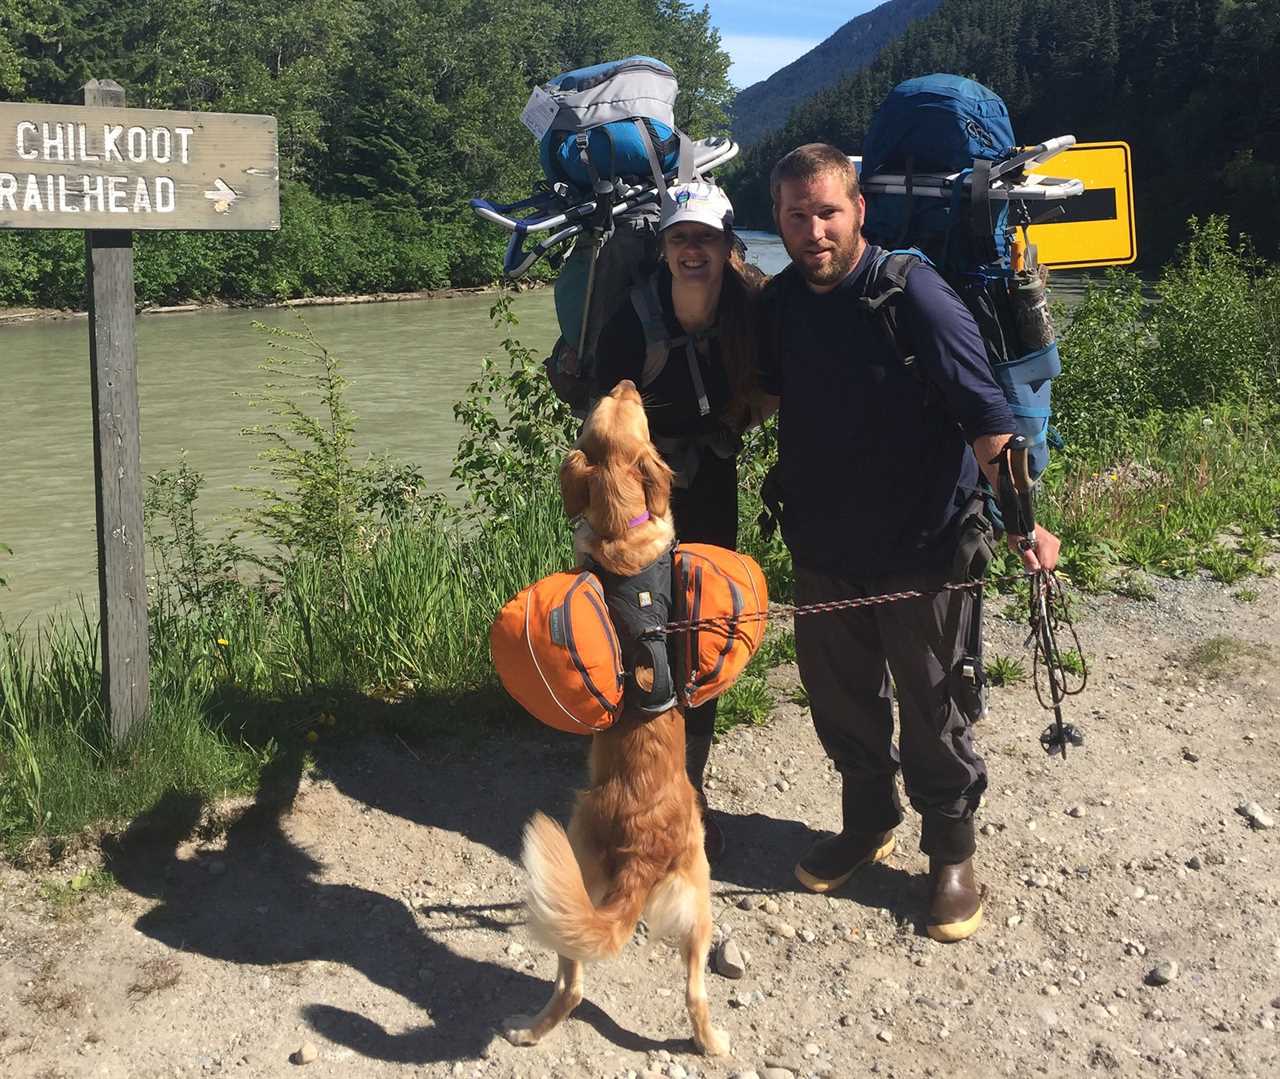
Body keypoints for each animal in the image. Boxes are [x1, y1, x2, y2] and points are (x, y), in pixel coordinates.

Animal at [499, 378, 732, 1054]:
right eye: (620, 408)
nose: (627, 382)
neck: (623, 529)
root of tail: (643, 849)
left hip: (590, 859)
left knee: (573, 985)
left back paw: (526, 1031)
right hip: (697, 901)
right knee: (691, 994)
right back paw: (712, 1044)